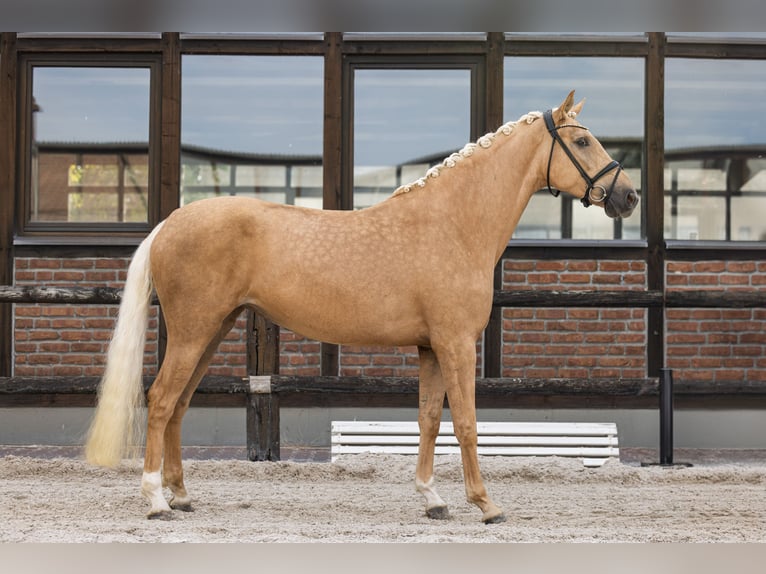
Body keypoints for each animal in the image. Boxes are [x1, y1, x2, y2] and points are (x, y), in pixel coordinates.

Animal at [84, 91, 640, 528]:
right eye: (584, 142)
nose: (629, 196)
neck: (453, 223)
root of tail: (170, 222)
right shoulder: (456, 343)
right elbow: (465, 422)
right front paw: (485, 504)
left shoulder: (430, 347)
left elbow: (428, 420)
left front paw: (432, 499)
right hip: (194, 331)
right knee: (160, 402)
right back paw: (156, 501)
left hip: (213, 330)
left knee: (177, 405)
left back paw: (181, 496)